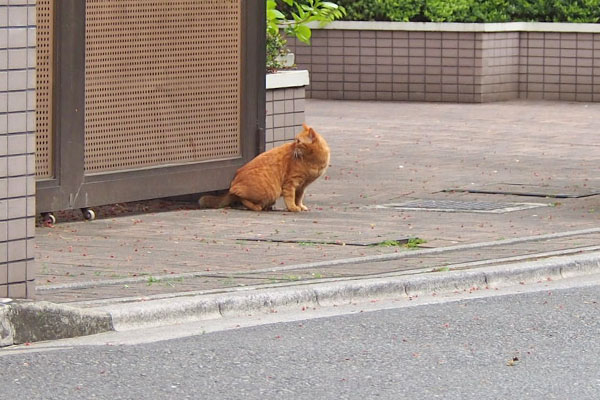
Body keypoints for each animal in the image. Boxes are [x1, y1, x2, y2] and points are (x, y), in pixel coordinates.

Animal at [198, 123, 330, 212]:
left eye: (298, 141)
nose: (293, 145)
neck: (314, 161)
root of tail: (233, 182)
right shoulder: (291, 183)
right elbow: (290, 197)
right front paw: (293, 207)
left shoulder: (302, 186)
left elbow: (299, 198)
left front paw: (300, 206)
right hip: (271, 191)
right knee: (241, 198)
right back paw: (257, 206)